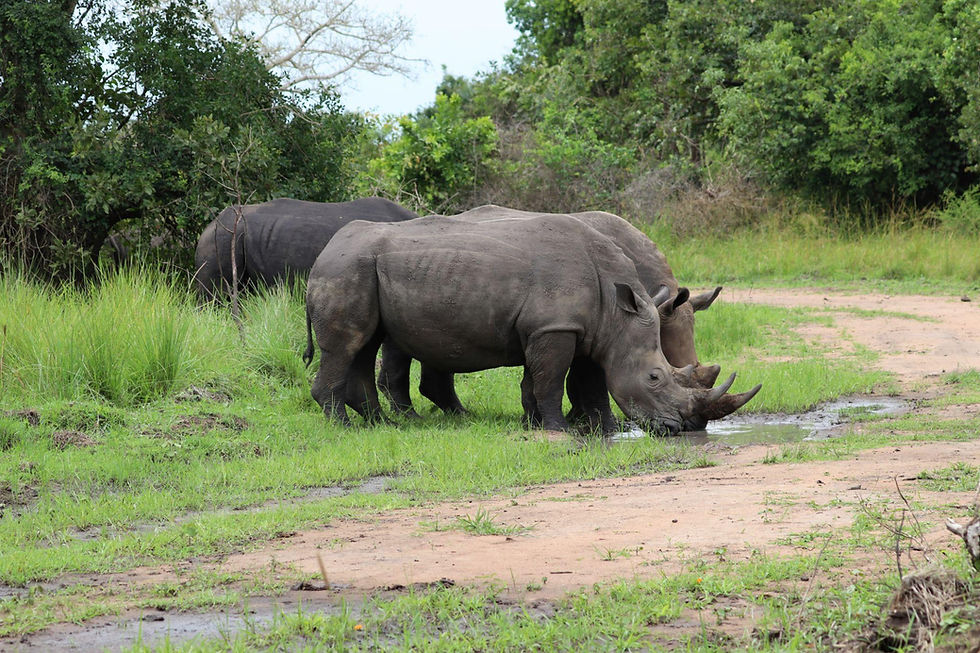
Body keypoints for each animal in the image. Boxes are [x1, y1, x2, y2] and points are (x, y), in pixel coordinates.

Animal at [304, 212, 759, 435]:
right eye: (655, 378)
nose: (687, 426)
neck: (618, 312)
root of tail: (324, 251)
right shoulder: (556, 327)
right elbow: (551, 379)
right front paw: (559, 429)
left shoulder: (588, 331)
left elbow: (582, 382)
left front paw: (597, 429)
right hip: (346, 269)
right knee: (347, 346)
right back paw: (347, 428)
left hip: (363, 268)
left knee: (365, 345)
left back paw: (384, 425)